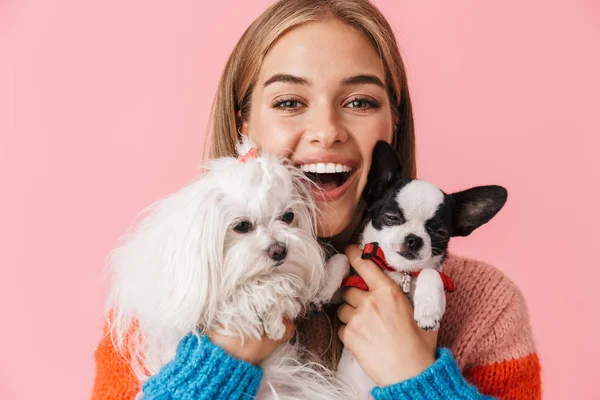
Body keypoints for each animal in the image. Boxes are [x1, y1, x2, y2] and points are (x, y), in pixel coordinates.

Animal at [107, 139, 350, 398]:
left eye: (288, 216)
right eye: (241, 226)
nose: (279, 250)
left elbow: (335, 265)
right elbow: (259, 289)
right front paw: (272, 312)